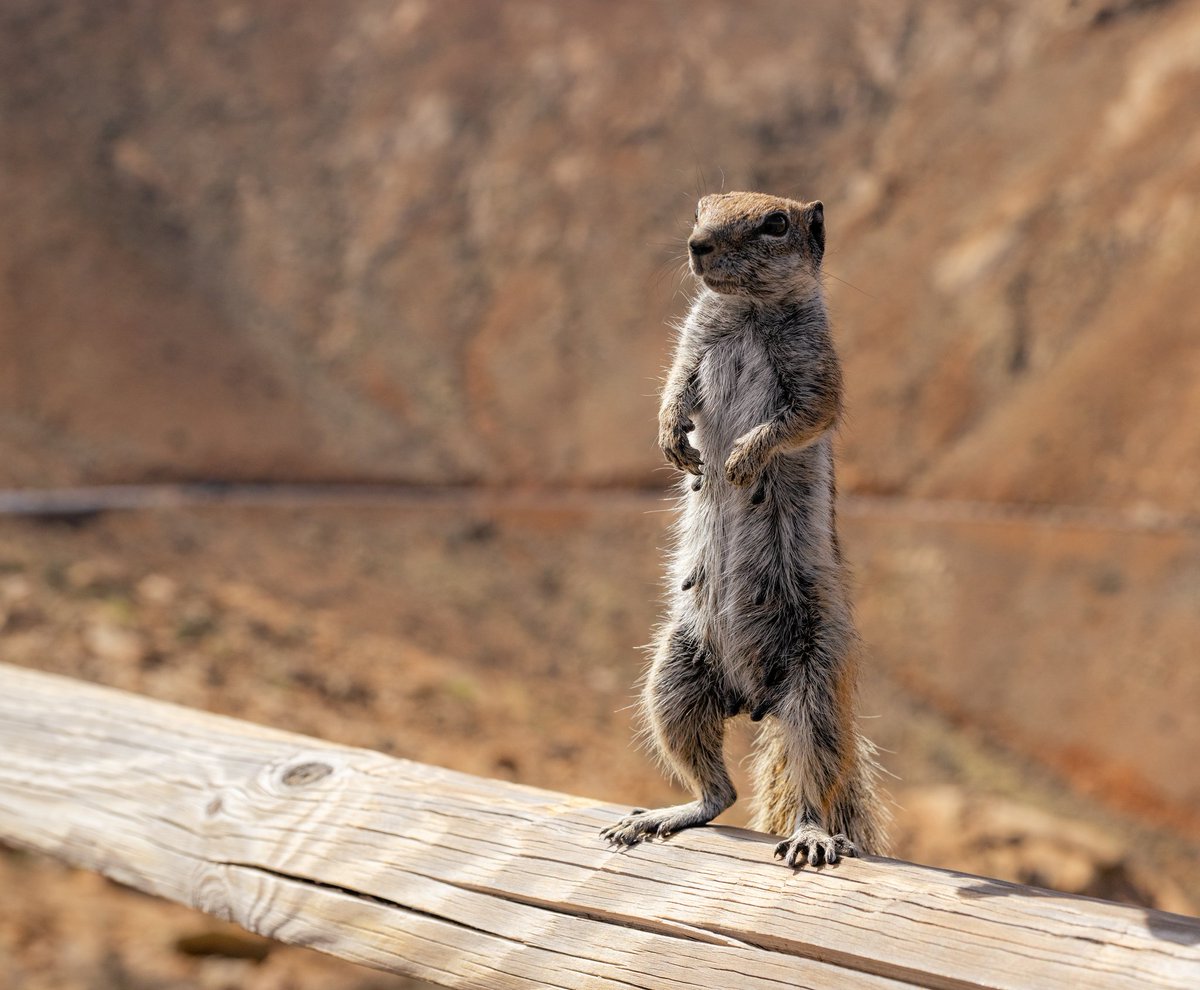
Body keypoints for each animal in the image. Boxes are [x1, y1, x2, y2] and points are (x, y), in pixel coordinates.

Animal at [604, 189, 888, 859]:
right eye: (701, 207)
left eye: (776, 223)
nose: (697, 243)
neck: (749, 311)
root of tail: (756, 699)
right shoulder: (691, 346)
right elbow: (674, 391)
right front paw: (674, 442)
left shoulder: (817, 369)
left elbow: (802, 417)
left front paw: (740, 459)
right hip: (674, 679)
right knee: (717, 790)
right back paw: (662, 816)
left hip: (816, 683)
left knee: (813, 777)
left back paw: (811, 836)